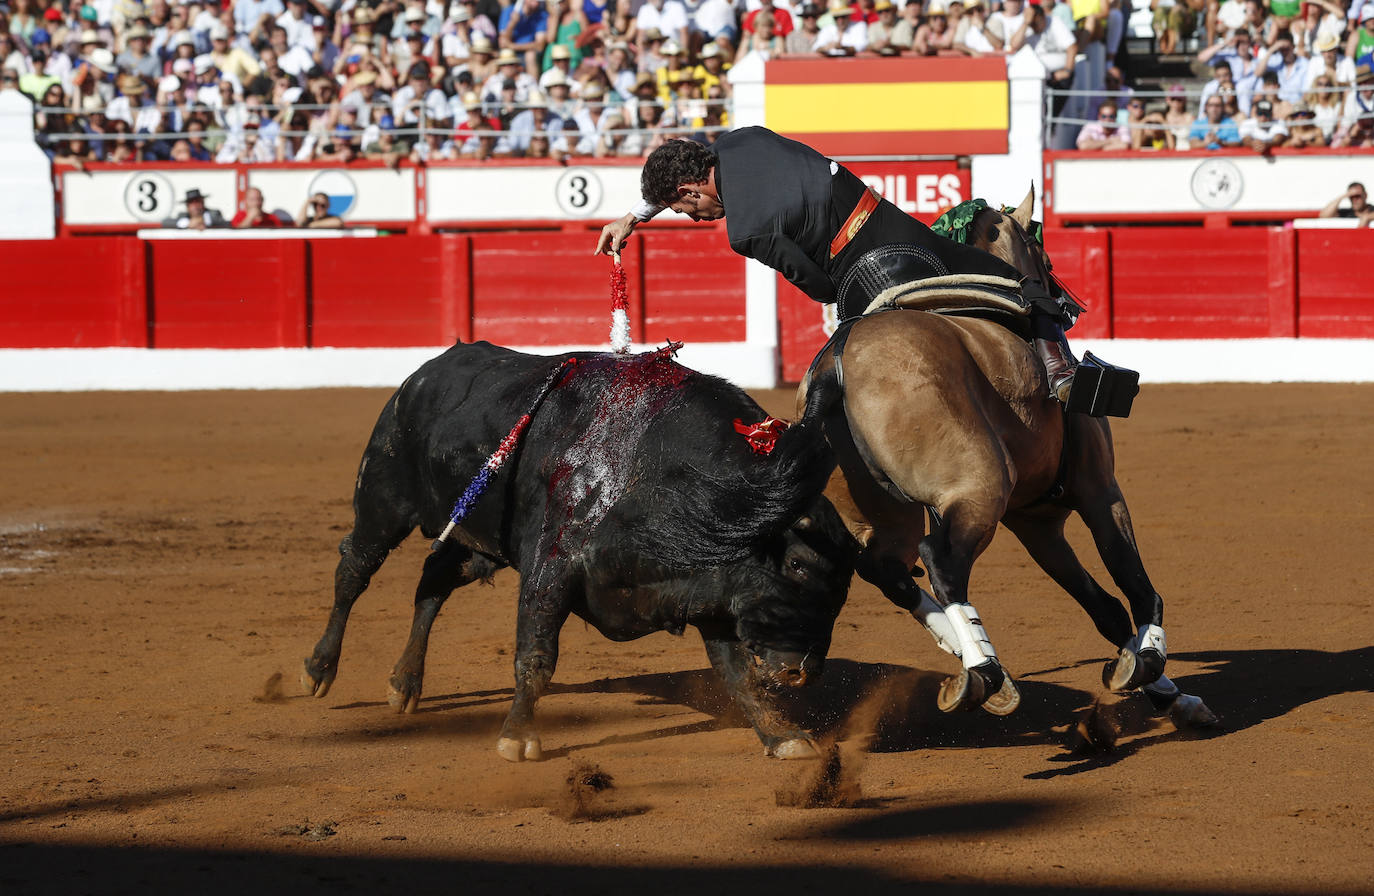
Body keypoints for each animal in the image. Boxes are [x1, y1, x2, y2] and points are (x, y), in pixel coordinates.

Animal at [305, 343, 851, 764]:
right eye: (798, 564)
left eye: (844, 587)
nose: (803, 671)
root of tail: (422, 374)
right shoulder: (551, 569)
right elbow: (536, 655)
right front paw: (517, 739)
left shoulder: (712, 589)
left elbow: (738, 674)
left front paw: (784, 737)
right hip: (382, 501)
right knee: (353, 572)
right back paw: (320, 670)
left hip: (474, 543)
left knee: (433, 583)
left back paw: (404, 684)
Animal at [802, 186, 1214, 725]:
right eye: (1044, 255)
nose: (1067, 303)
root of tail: (835, 368)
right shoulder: (1100, 489)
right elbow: (1135, 583)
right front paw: (1151, 665)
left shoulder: (1036, 522)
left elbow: (1103, 607)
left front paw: (1169, 692)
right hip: (979, 488)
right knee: (942, 561)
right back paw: (982, 673)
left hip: (889, 518)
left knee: (887, 569)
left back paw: (975, 664)